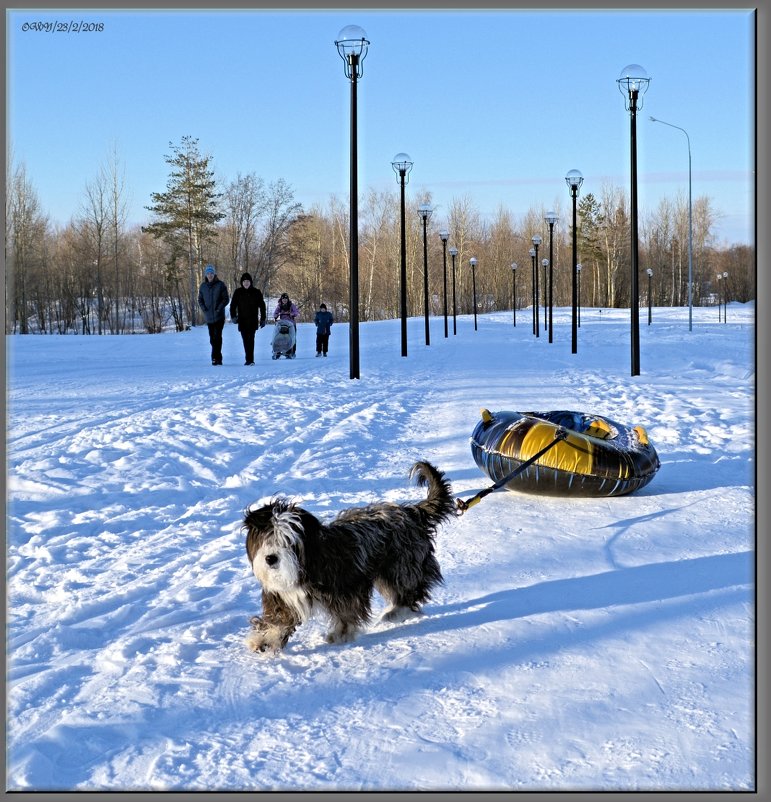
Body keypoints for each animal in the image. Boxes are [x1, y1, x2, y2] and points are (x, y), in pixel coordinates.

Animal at [244, 462, 456, 648]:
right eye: (266, 538)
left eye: (288, 540)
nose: (271, 559)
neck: (311, 562)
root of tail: (412, 512)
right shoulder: (283, 595)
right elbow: (279, 618)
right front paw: (265, 641)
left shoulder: (346, 588)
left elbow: (346, 614)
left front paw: (340, 635)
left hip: (402, 562)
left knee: (409, 587)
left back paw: (395, 612)